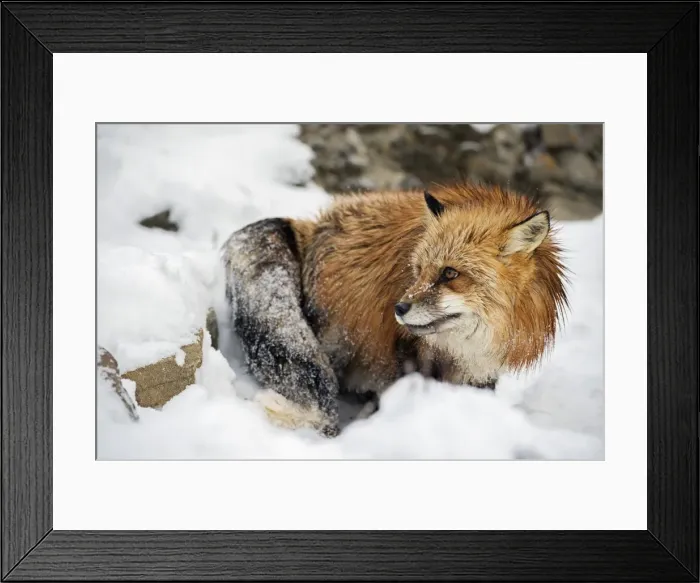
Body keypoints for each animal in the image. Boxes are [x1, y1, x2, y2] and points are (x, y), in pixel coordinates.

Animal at [221, 182, 568, 437]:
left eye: (450, 273)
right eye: (418, 270)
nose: (399, 308)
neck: (464, 348)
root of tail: (314, 224)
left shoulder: (481, 372)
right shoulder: (403, 352)